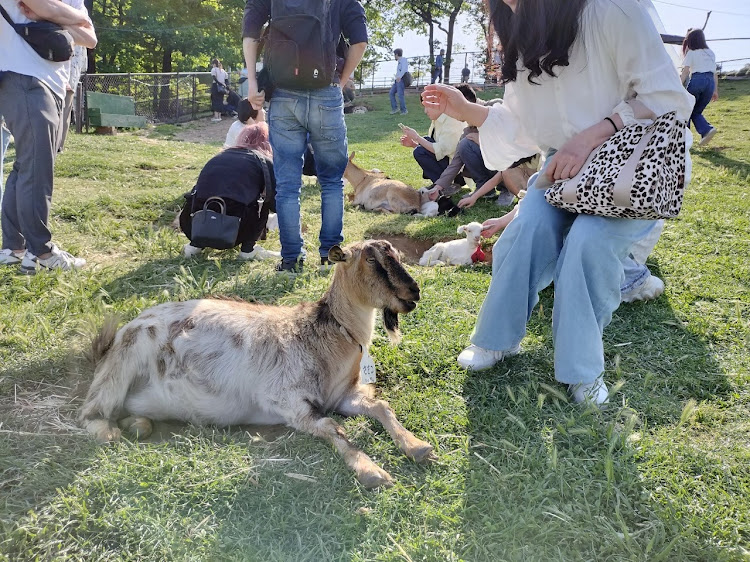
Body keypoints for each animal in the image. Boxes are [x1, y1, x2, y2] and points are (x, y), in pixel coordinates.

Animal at [80, 238, 434, 488]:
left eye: (396, 254)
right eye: (371, 260)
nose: (414, 292)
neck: (325, 336)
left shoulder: (341, 396)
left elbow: (382, 407)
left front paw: (417, 446)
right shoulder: (287, 400)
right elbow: (334, 428)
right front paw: (372, 472)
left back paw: (138, 424)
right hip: (122, 364)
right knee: (91, 413)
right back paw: (113, 431)